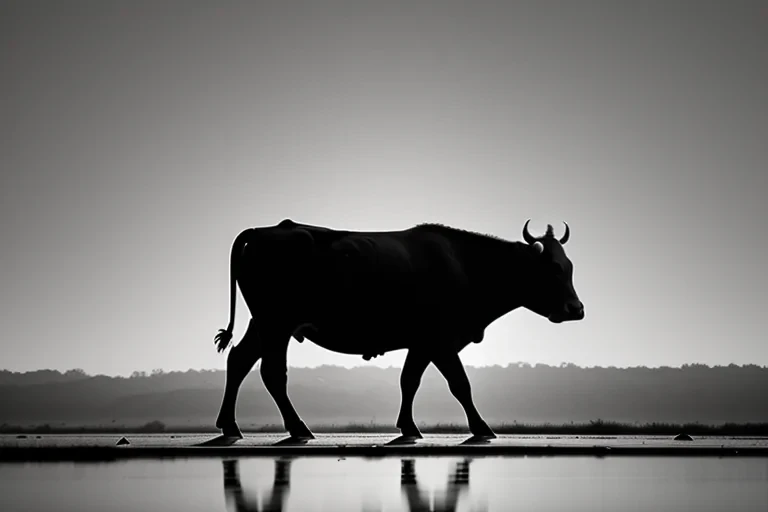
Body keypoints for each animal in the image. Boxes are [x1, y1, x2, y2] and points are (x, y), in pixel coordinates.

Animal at [212, 219, 584, 442]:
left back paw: (230, 424)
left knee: (239, 360)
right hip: (276, 324)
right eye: (553, 269)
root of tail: (267, 229)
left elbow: (409, 381)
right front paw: (481, 428)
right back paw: (298, 428)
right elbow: (460, 384)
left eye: (569, 266)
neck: (465, 265)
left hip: (262, 325)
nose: (576, 309)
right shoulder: (440, 340)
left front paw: (409, 426)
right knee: (273, 373)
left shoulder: (421, 343)